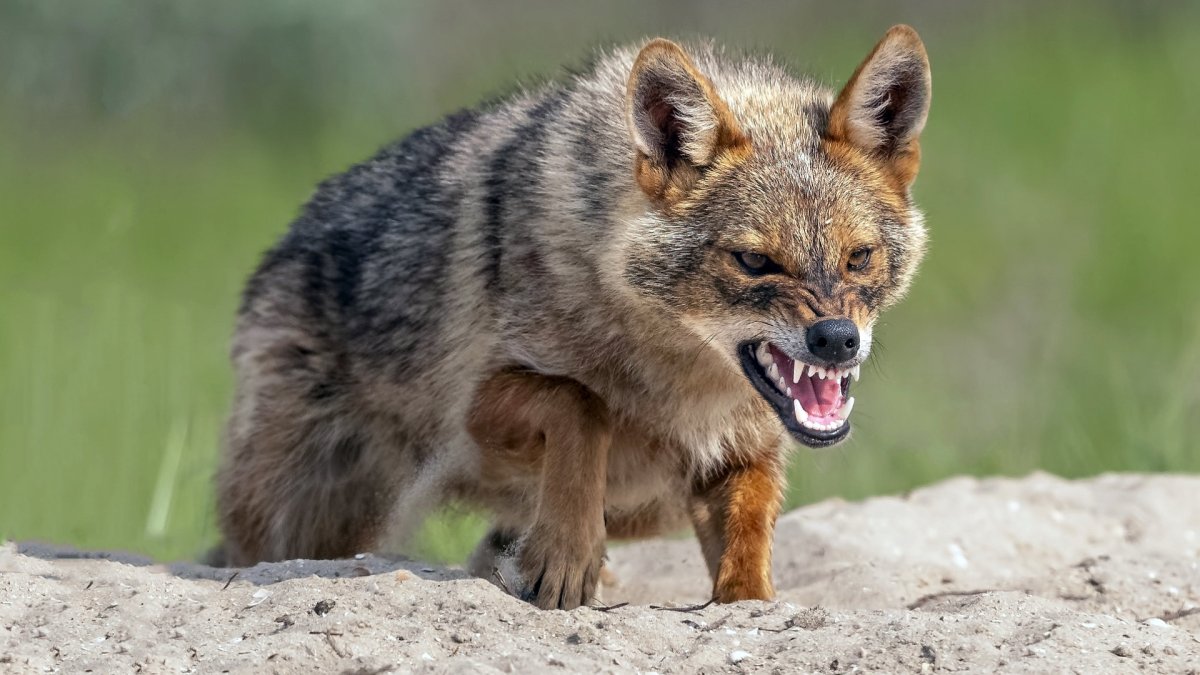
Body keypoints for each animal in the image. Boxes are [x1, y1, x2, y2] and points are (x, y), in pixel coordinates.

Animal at [215, 25, 931, 610]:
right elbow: (578, 405)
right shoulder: (477, 413)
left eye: (859, 257)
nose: (837, 341)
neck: (681, 391)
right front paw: (565, 557)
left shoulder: (745, 456)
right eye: (756, 262)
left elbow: (748, 561)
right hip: (315, 520)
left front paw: (748, 603)